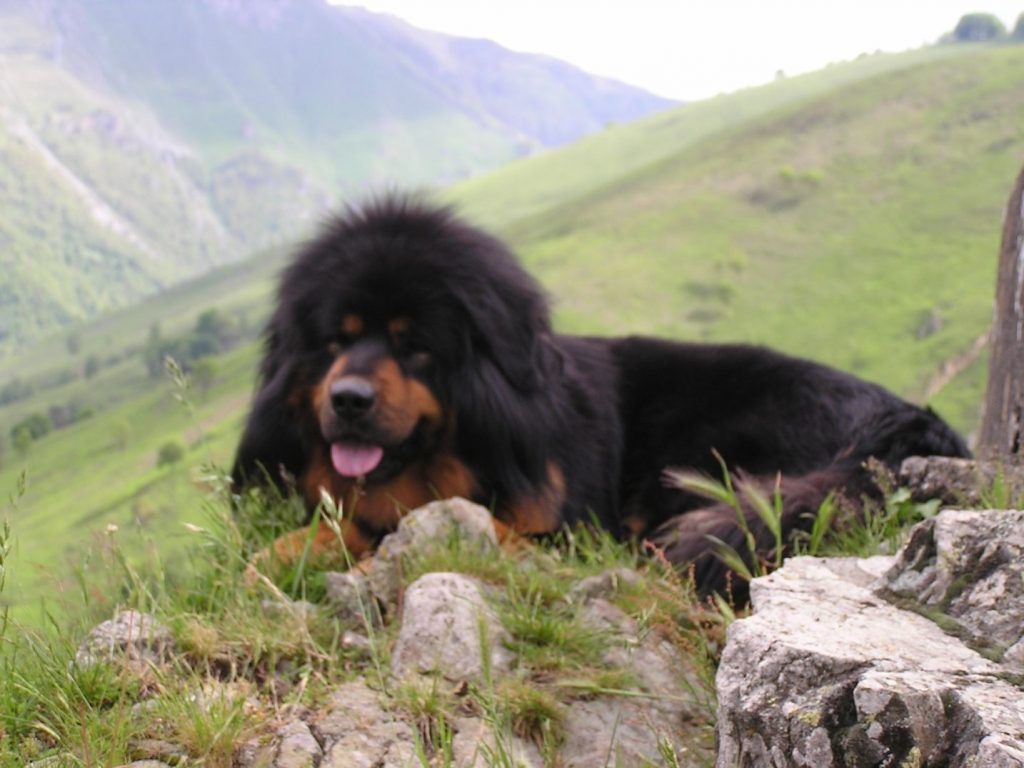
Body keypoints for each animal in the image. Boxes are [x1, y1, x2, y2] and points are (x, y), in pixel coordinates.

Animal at [232, 195, 966, 593]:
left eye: (415, 346)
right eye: (336, 340)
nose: (348, 399)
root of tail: (905, 422)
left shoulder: (571, 528)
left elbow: (462, 531)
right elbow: (314, 534)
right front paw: (268, 568)